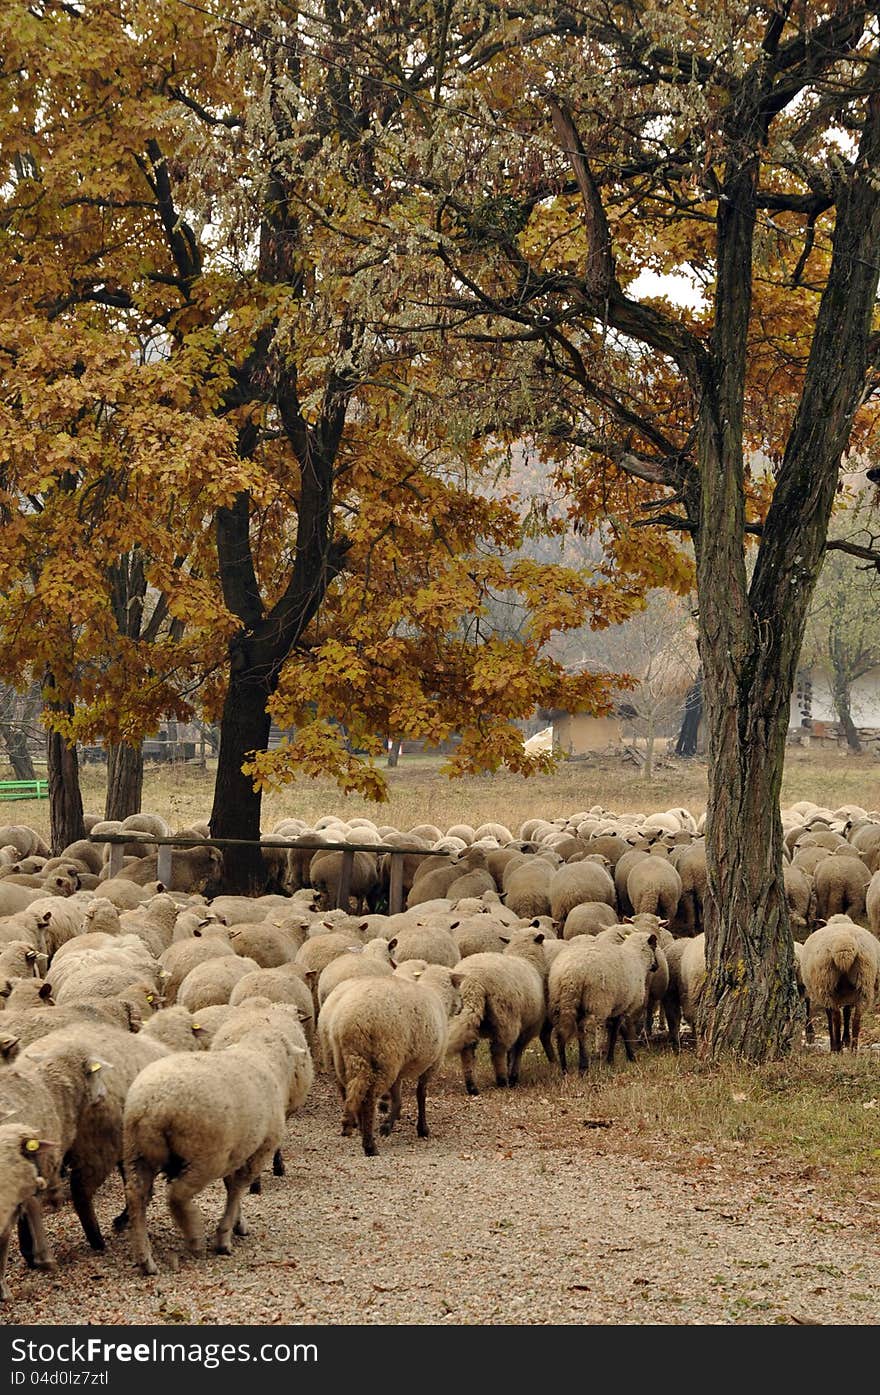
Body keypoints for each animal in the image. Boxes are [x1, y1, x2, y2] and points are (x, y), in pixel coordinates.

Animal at [122, 1009, 309, 1272]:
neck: (262, 1057)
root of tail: (154, 1104)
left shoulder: (237, 1151)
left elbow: (231, 1187)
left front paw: (238, 1223)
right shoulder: (259, 1152)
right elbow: (238, 1188)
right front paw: (224, 1235)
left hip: (137, 1151)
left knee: (136, 1196)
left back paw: (145, 1258)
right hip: (204, 1156)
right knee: (177, 1195)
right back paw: (194, 1237)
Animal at [317, 959, 468, 1155]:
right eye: (458, 987)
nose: (462, 1006)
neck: (438, 996)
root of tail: (348, 1021)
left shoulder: (400, 1068)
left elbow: (397, 1097)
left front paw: (389, 1123)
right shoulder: (431, 1064)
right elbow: (421, 1094)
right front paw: (420, 1128)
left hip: (343, 1057)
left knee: (348, 1090)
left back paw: (353, 1125)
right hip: (385, 1057)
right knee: (368, 1097)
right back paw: (369, 1145)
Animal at [552, 931, 661, 1071]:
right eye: (654, 946)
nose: (656, 966)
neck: (638, 959)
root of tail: (572, 973)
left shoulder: (617, 1007)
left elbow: (619, 1031)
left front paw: (627, 1056)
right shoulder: (623, 1006)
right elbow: (617, 1033)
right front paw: (615, 1059)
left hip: (563, 1002)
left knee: (564, 1033)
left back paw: (568, 1068)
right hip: (599, 1002)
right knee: (588, 1030)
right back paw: (590, 1060)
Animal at [797, 920, 880, 1049]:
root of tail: (844, 943)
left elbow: (831, 1017)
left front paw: (838, 1042)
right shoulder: (850, 994)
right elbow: (847, 1013)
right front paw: (846, 1039)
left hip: (826, 984)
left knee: (836, 1017)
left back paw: (836, 1048)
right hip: (864, 981)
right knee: (856, 1019)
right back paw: (853, 1049)